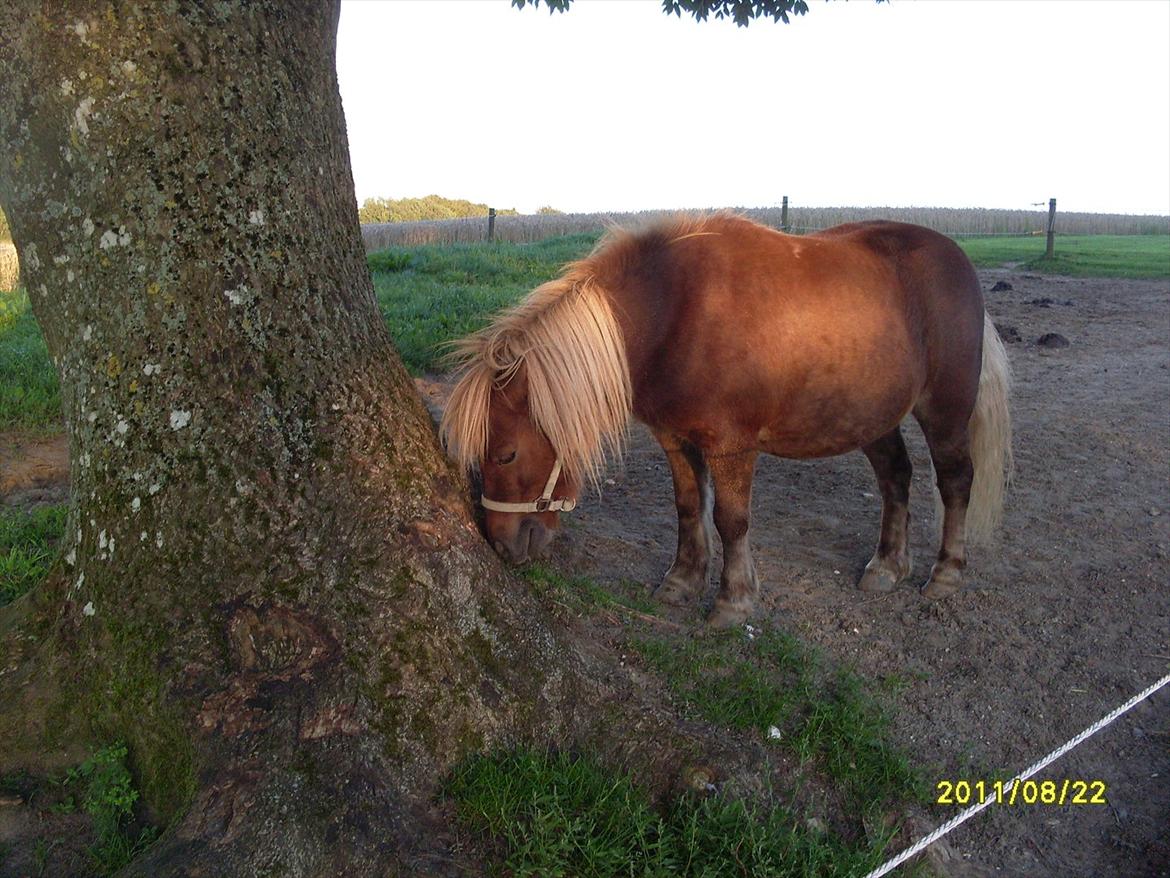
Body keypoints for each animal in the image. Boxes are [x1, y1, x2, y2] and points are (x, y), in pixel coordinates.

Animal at [442, 211, 1010, 627]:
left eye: (506, 453)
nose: (501, 543)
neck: (677, 312)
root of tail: (955, 258)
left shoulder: (731, 446)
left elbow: (730, 520)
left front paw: (733, 600)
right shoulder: (675, 439)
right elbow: (689, 508)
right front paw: (681, 581)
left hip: (944, 410)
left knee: (955, 480)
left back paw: (946, 573)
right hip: (870, 417)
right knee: (896, 478)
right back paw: (887, 566)